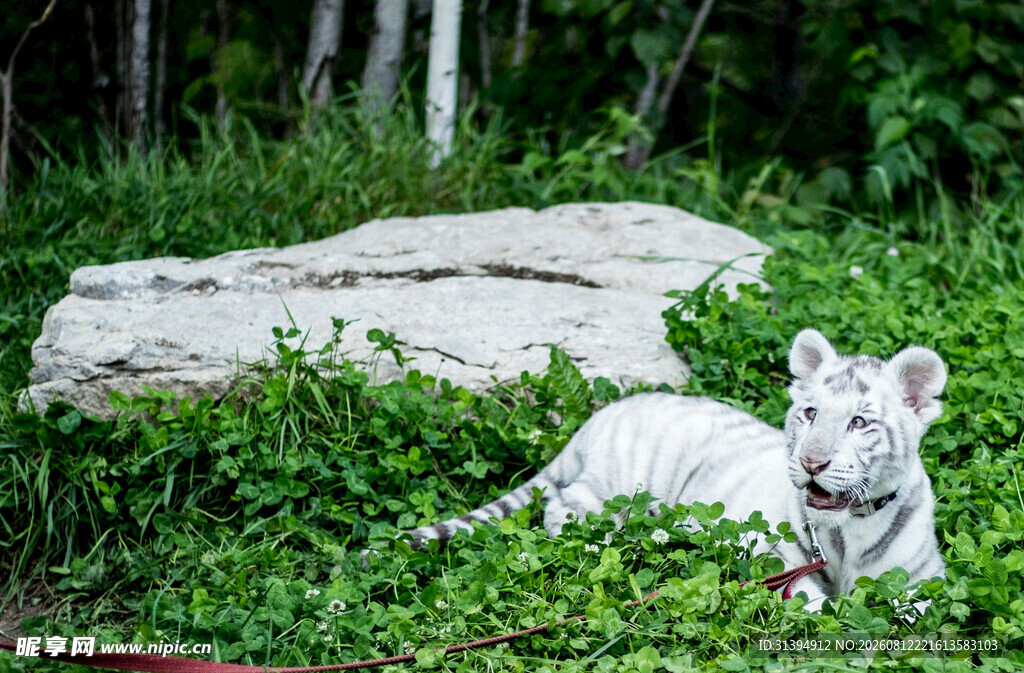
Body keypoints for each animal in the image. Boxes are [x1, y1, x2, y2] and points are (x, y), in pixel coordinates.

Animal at [368, 329, 947, 608]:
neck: (846, 532)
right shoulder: (771, 554)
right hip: (618, 487)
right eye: (809, 414)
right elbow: (806, 599)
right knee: (563, 505)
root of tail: (598, 414)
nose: (811, 462)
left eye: (858, 422)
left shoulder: (922, 579)